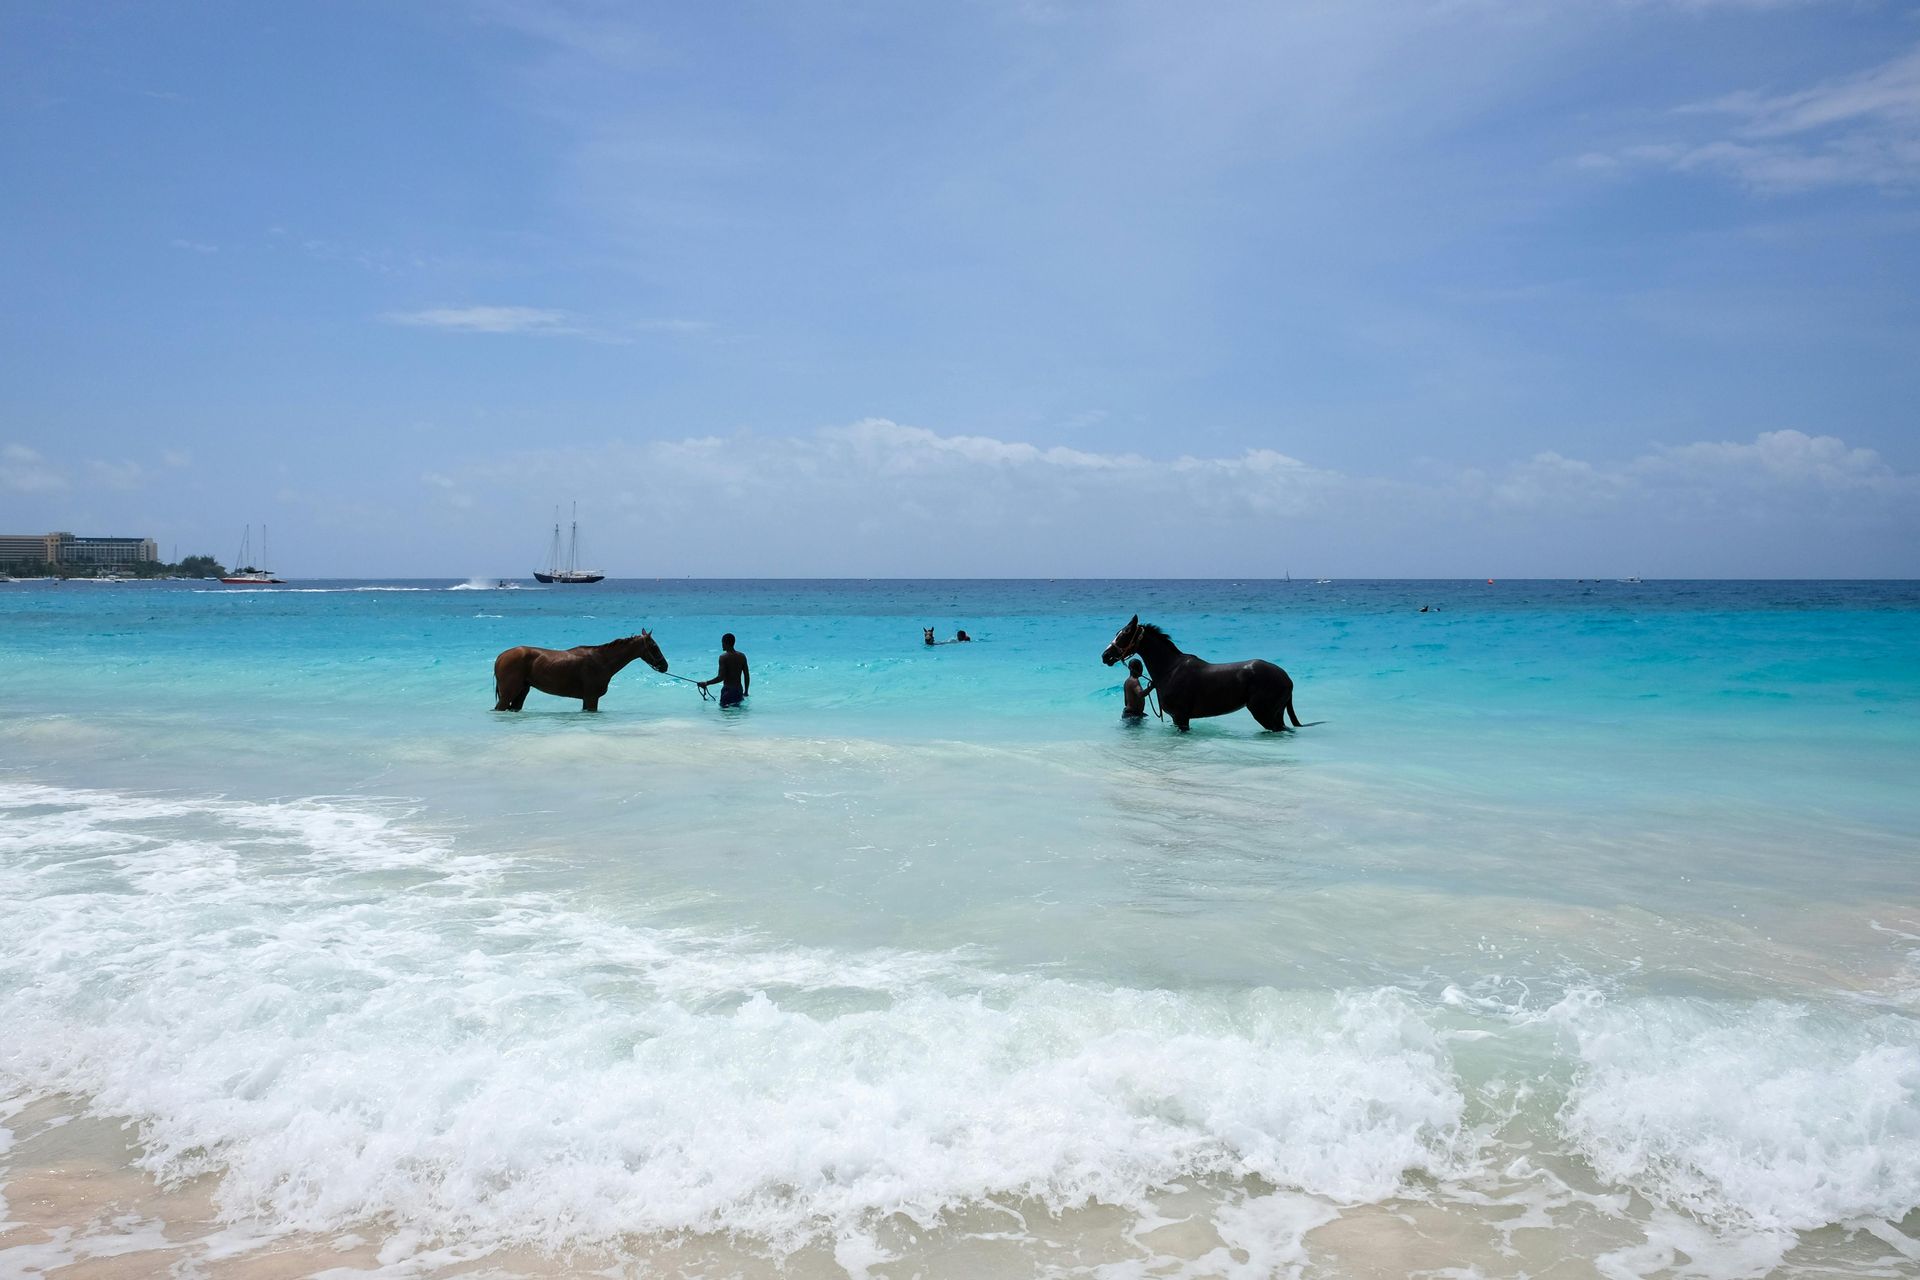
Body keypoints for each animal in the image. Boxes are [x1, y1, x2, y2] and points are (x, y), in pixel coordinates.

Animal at [495, 633, 668, 717]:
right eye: (654, 646)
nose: (664, 666)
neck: (601, 660)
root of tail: (501, 656)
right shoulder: (591, 698)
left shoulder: (587, 699)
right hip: (508, 694)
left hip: (521, 692)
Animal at [1098, 617, 1305, 736]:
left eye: (1125, 634)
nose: (1105, 656)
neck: (1170, 670)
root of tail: (1286, 678)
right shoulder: (1177, 718)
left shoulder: (1181, 717)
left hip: (1265, 714)